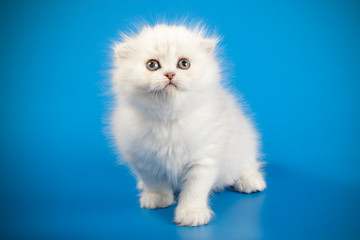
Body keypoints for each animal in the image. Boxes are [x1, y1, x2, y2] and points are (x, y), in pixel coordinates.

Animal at [109, 23, 264, 226]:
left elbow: (194, 189)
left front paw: (192, 214)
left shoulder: (204, 158)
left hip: (243, 145)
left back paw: (251, 182)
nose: (170, 74)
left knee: (248, 164)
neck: (169, 120)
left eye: (184, 64)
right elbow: (154, 181)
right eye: (152, 65)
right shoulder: (143, 159)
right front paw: (158, 199)